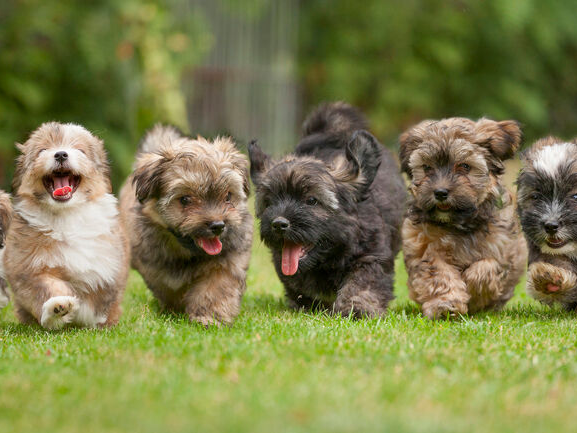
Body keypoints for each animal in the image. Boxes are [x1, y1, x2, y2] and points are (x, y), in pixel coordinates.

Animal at [2, 121, 129, 328]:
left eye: (80, 150)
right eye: (42, 150)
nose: (61, 154)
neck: (66, 214)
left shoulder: (108, 265)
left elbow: (101, 298)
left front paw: (98, 322)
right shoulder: (28, 268)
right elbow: (46, 287)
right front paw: (57, 308)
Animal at [118, 124, 251, 324]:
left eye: (228, 196)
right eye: (185, 199)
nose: (218, 225)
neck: (188, 253)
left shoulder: (229, 258)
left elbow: (218, 285)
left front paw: (209, 316)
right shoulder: (153, 265)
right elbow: (168, 285)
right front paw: (177, 307)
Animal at [248, 102, 404, 318]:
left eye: (311, 201)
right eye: (269, 202)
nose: (279, 224)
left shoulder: (371, 254)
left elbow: (363, 282)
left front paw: (357, 307)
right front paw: (308, 303)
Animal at [400, 117, 528, 318]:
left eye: (465, 166)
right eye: (427, 168)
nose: (440, 192)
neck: (459, 223)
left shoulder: (501, 248)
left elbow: (485, 269)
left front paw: (473, 291)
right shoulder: (425, 247)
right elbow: (439, 274)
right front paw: (446, 304)